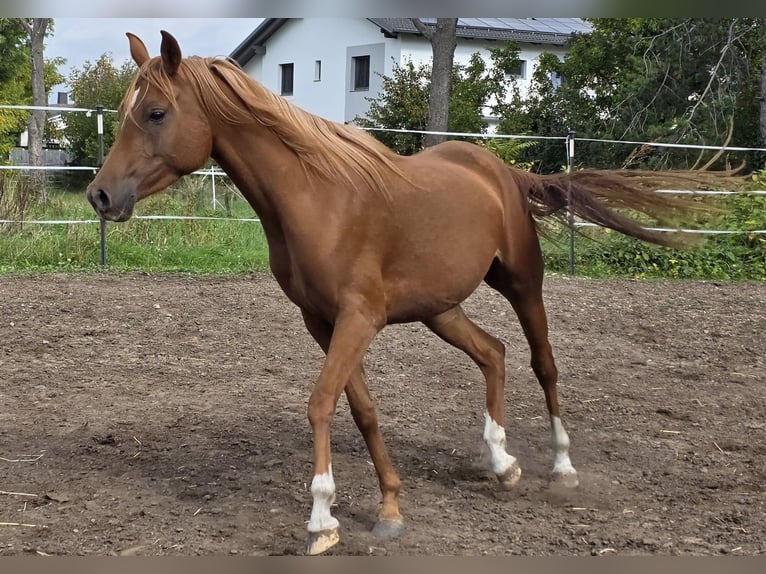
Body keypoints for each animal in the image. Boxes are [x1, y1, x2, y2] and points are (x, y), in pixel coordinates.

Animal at [86, 31, 710, 555]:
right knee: (494, 353)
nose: (100, 195)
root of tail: (501, 170)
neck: (317, 201)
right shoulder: (323, 322)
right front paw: (389, 507)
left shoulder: (358, 319)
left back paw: (561, 467)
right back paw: (501, 462)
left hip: (521, 283)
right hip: (441, 308)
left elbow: (320, 404)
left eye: (156, 113)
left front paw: (322, 520)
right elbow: (362, 410)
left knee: (543, 364)